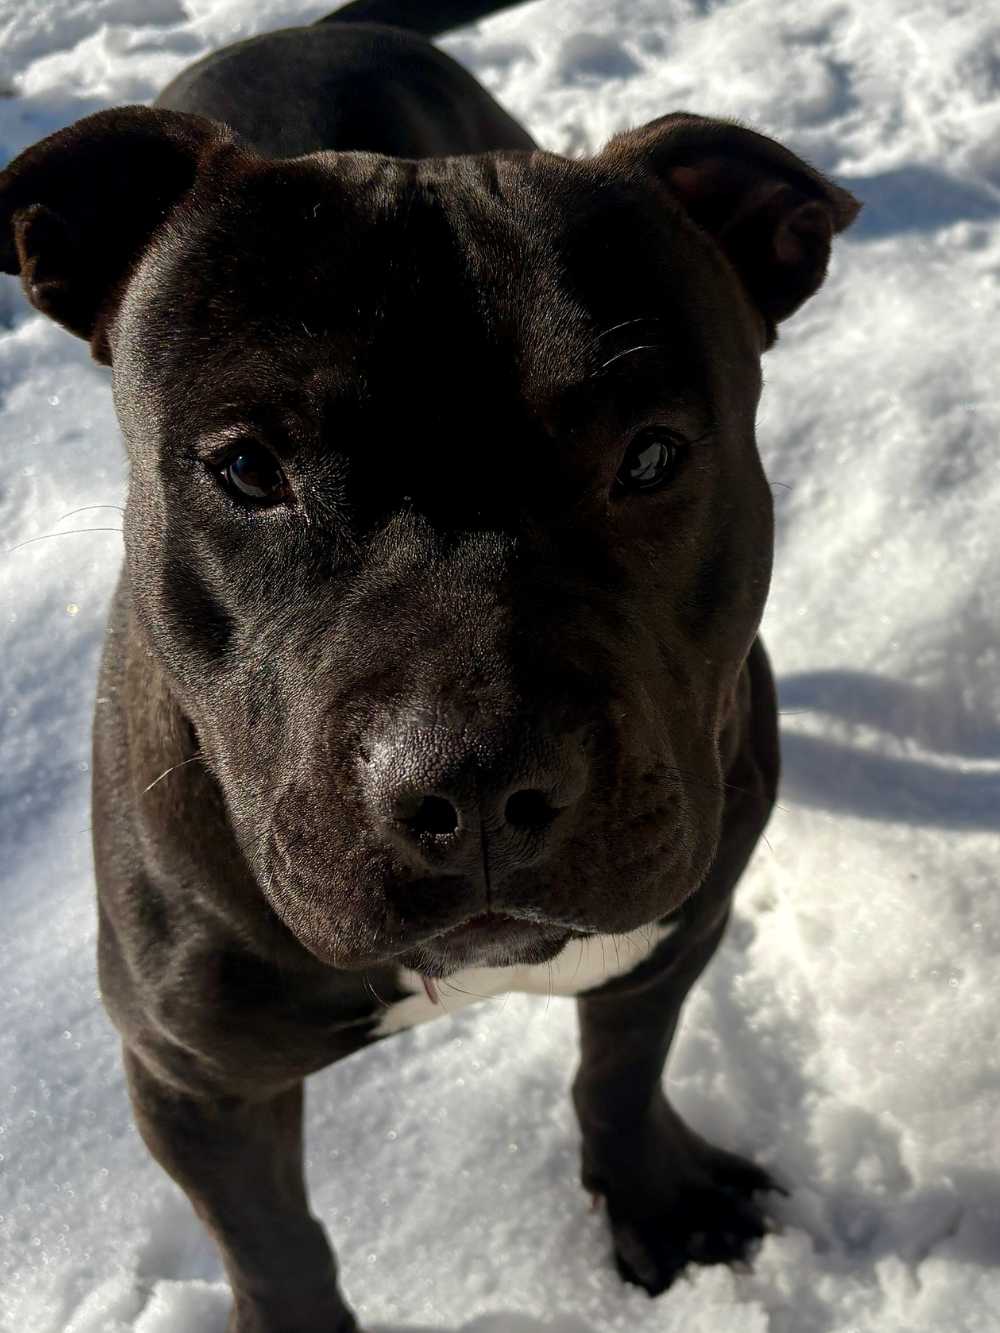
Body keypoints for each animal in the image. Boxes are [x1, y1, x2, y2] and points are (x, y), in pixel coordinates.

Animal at [0, 1, 859, 1327]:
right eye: (246, 470)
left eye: (652, 454)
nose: (475, 783)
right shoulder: (193, 1077)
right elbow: (273, 1243)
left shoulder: (673, 931)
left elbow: (619, 1075)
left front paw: (656, 1200)